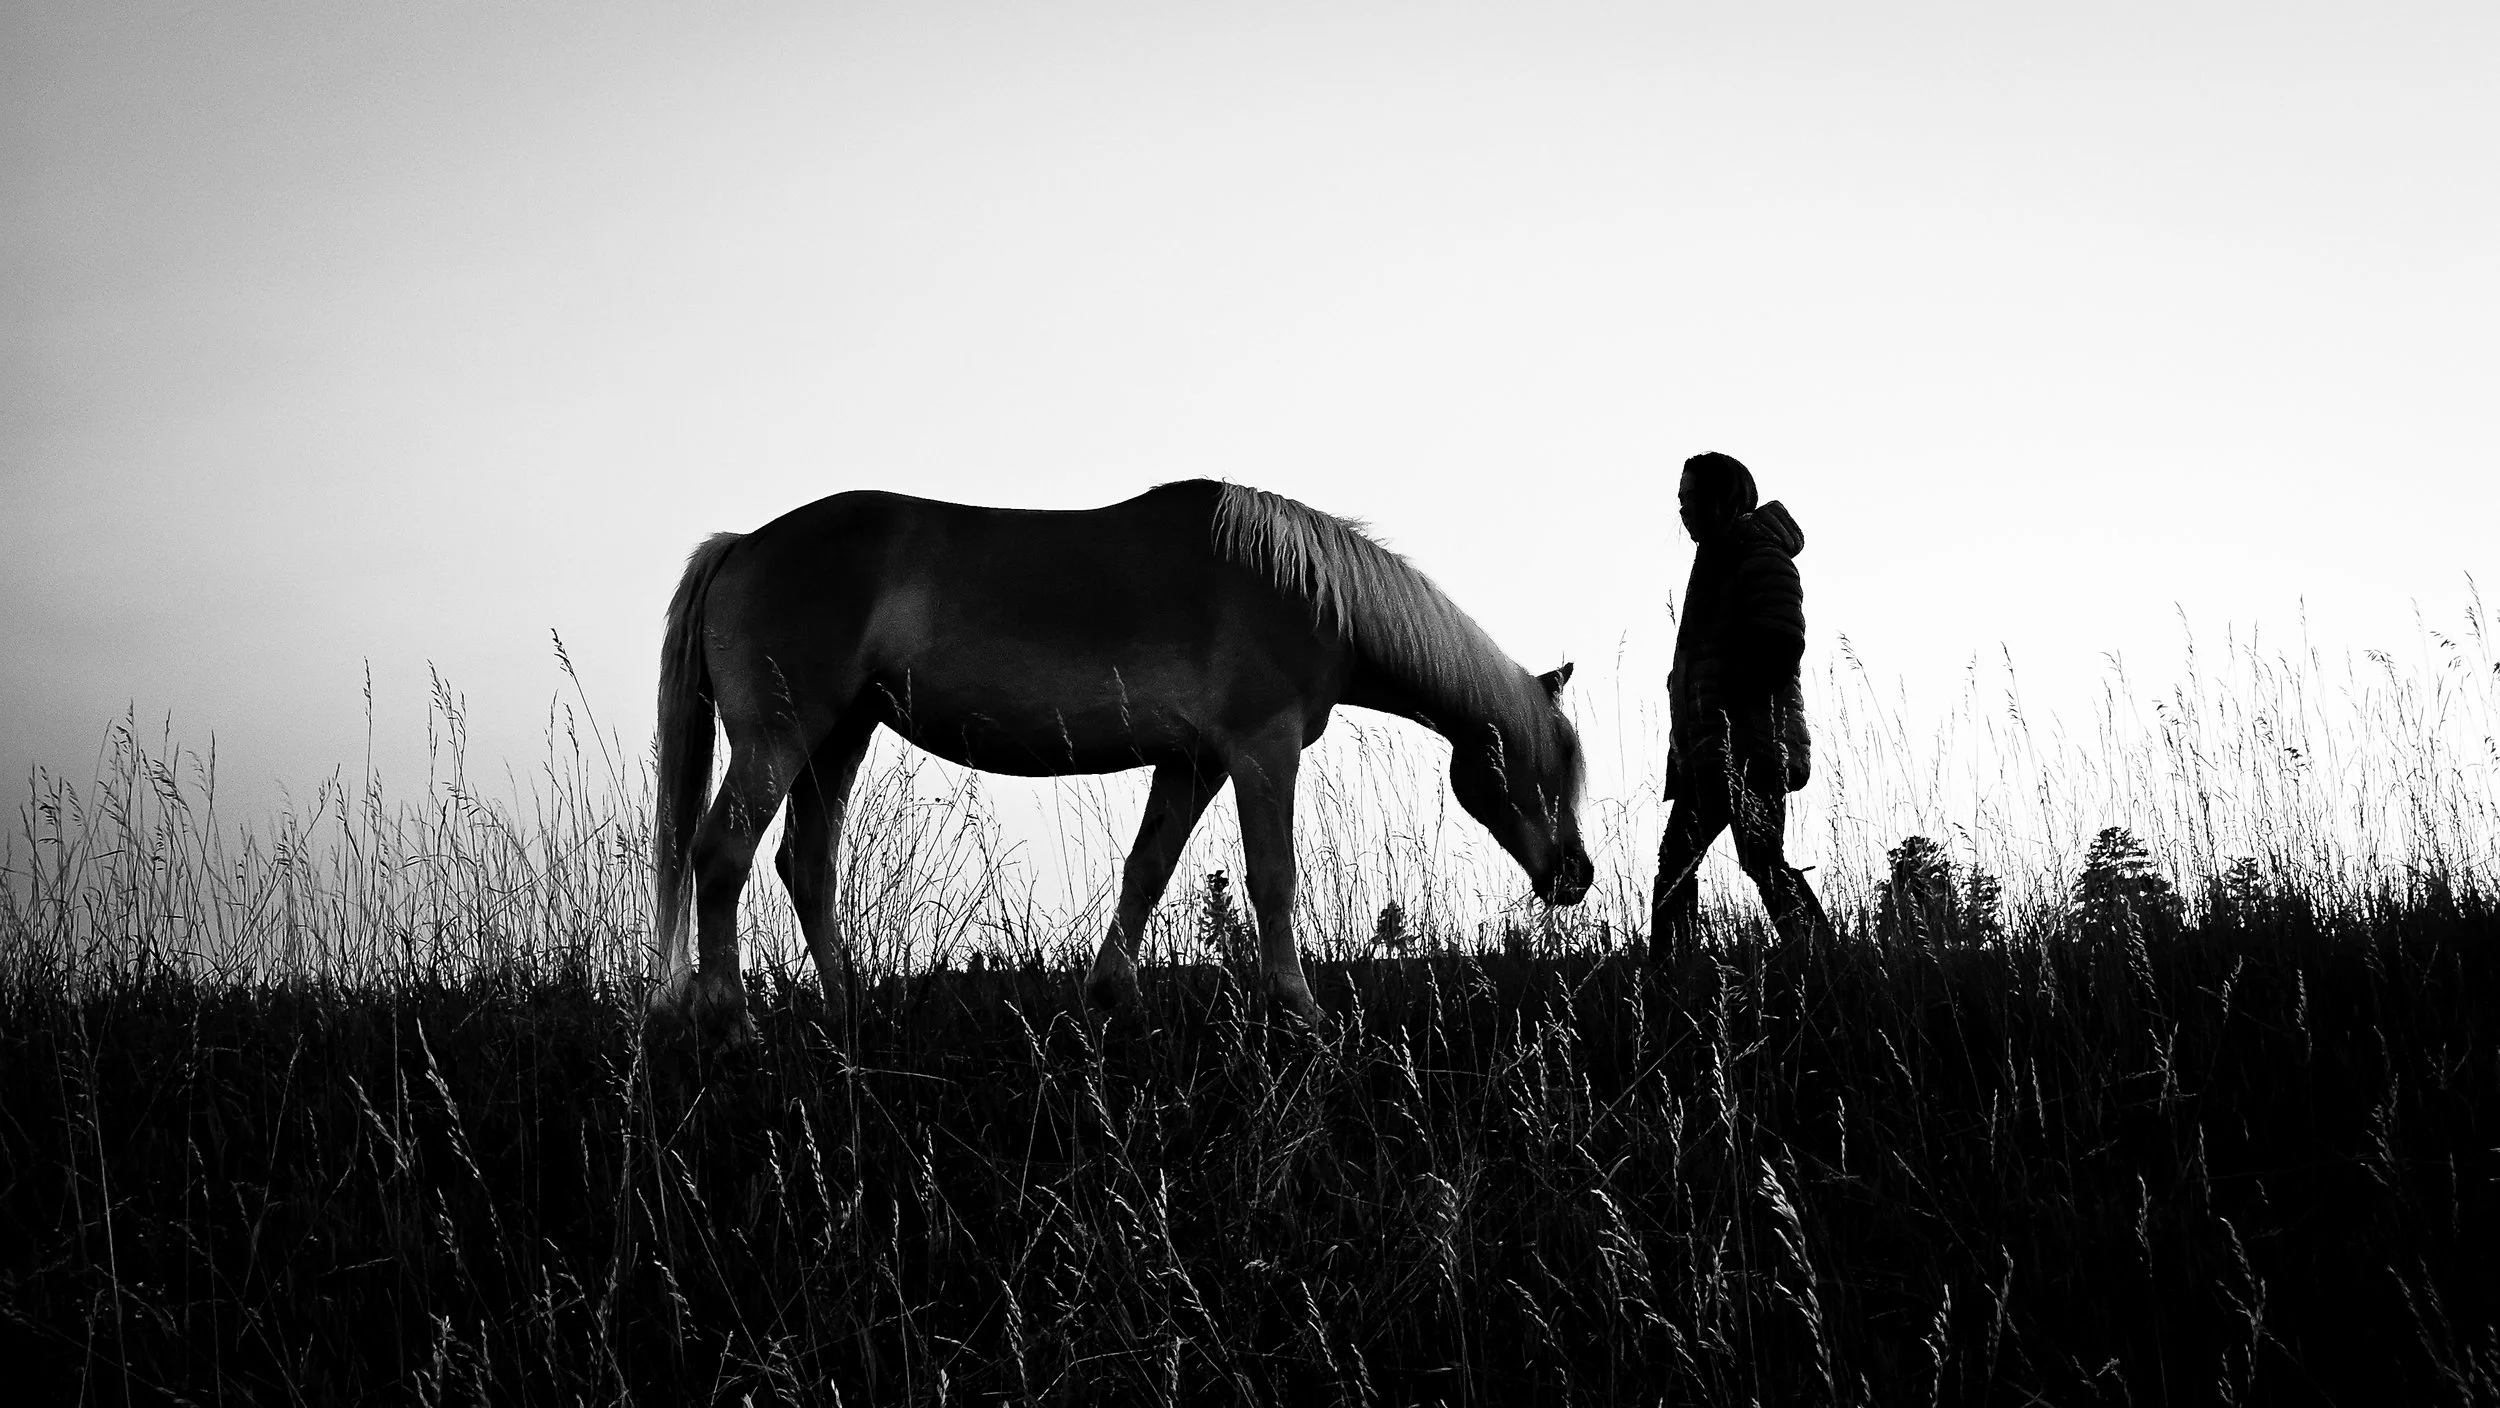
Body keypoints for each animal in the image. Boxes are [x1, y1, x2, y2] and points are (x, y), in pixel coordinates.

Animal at [648, 478, 1591, 1047]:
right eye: (1550, 765)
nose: (1575, 876)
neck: (1299, 591)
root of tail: (742, 543)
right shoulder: (1263, 749)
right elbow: (1272, 877)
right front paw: (1301, 1011)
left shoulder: (1194, 763)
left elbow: (1149, 867)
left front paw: (1111, 997)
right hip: (782, 737)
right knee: (722, 856)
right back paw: (733, 1027)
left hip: (841, 737)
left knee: (806, 865)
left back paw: (849, 1017)